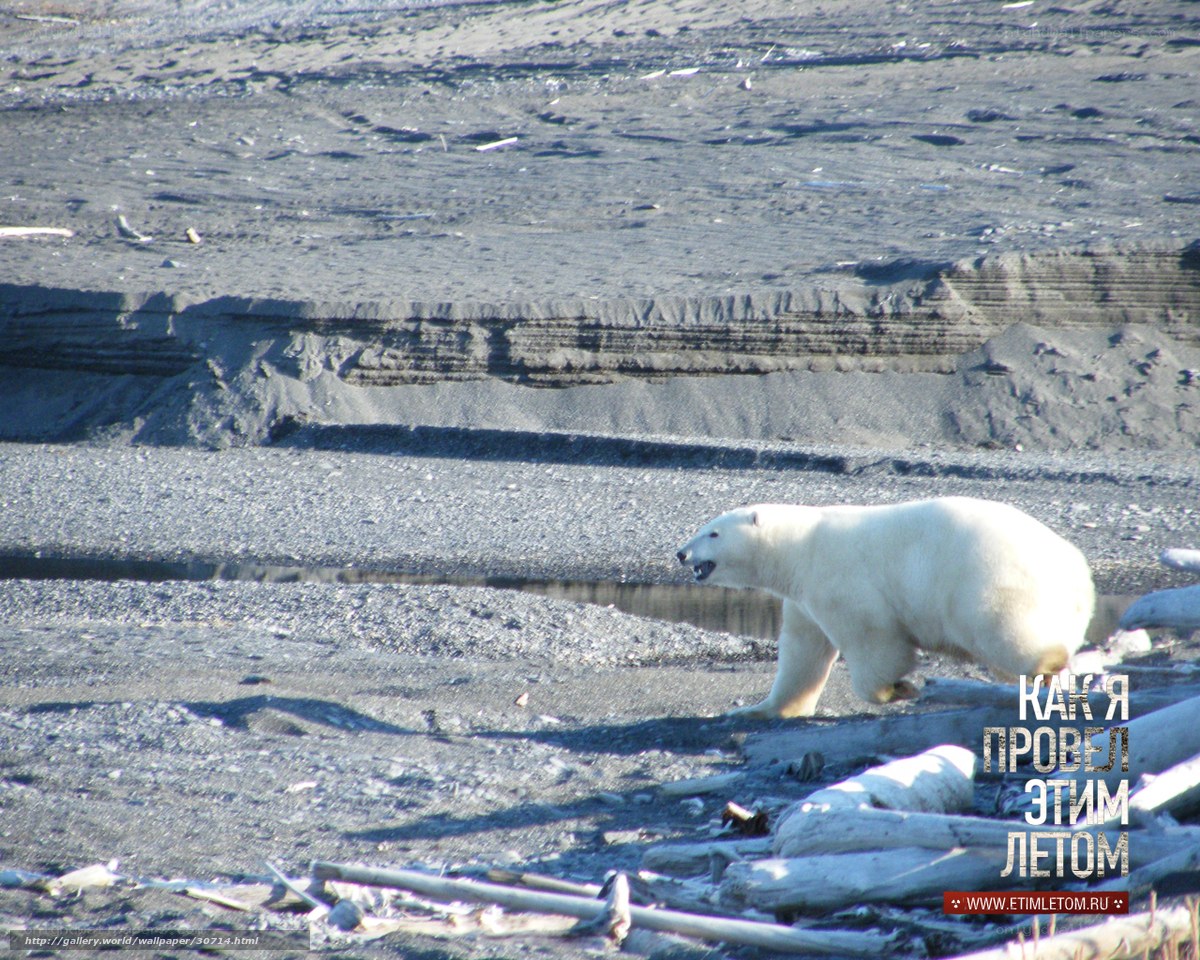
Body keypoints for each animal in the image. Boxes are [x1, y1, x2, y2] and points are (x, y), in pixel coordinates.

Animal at [676, 496, 1095, 718]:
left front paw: (896, 688)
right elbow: (802, 652)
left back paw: (1045, 663)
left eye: (713, 532)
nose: (681, 552)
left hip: (985, 576)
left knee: (1000, 624)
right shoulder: (803, 600)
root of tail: (1076, 569)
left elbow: (872, 638)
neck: (800, 546)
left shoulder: (839, 577)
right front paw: (760, 708)